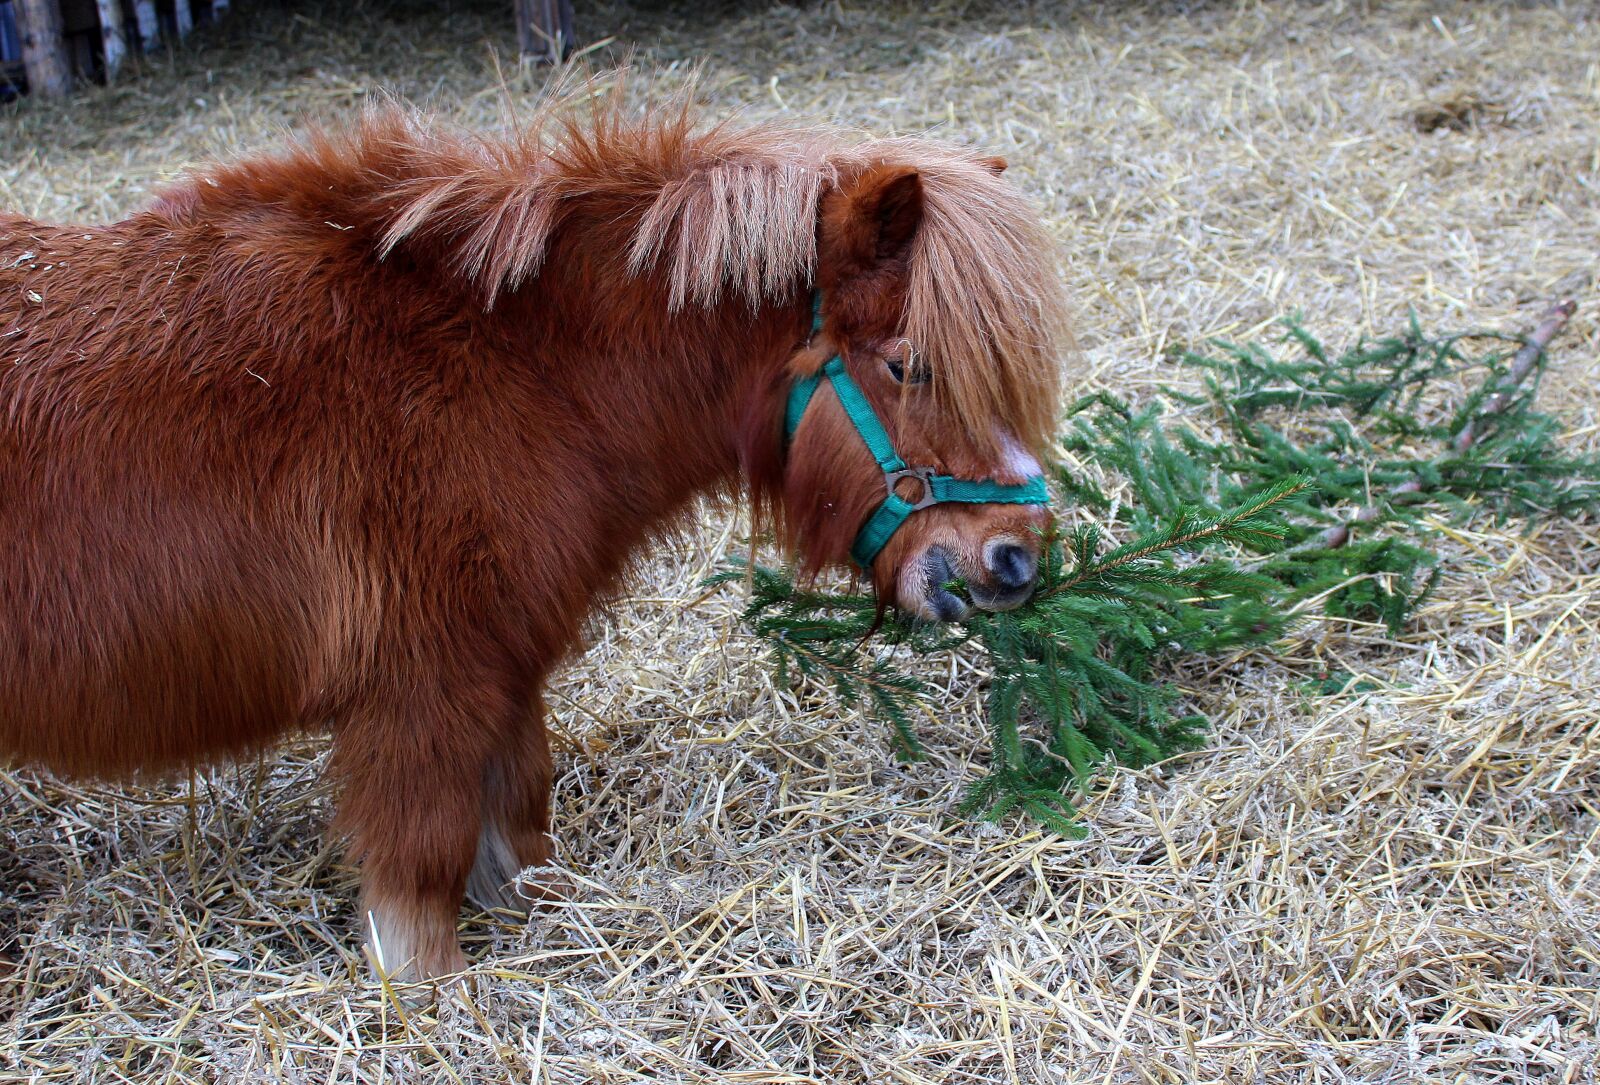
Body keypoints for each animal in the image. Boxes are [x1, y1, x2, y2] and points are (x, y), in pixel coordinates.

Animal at [0, 95, 1068, 984]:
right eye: (908, 364)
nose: (1017, 559)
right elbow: (424, 875)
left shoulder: (500, 665)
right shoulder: (419, 693)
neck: (515, 370)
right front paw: (426, 1003)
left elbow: (519, 821)